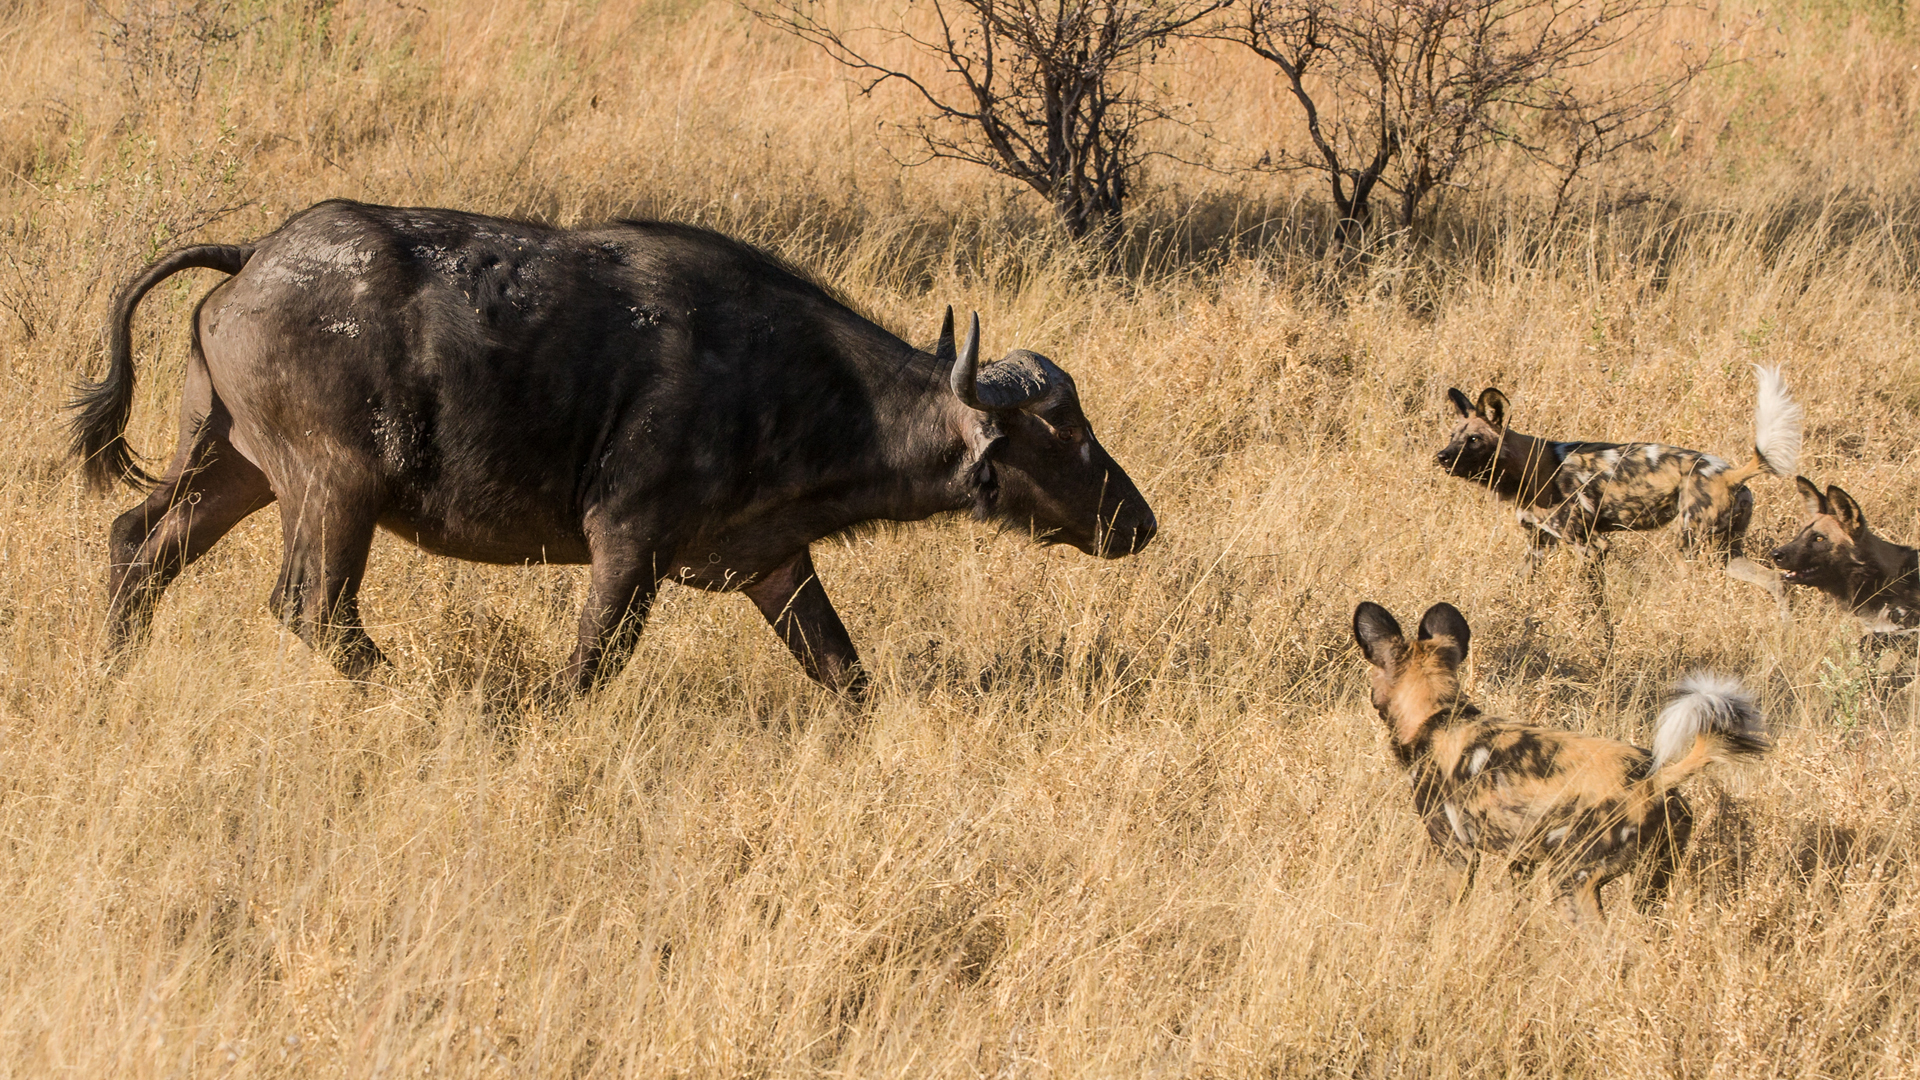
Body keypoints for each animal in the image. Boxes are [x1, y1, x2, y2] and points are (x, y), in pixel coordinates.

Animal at [71, 198, 1152, 691]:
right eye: (1065, 436)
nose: (1138, 523)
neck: (789, 380)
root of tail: (254, 254)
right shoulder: (626, 549)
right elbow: (589, 667)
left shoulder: (775, 564)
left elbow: (844, 673)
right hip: (333, 491)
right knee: (313, 609)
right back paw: (424, 697)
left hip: (233, 470)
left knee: (136, 544)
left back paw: (115, 674)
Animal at [1351, 595, 1766, 914]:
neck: (1438, 716)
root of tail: (1653, 780)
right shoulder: (1521, 860)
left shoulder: (1457, 853)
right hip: (1652, 884)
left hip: (1572, 880)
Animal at [1436, 367, 1804, 588]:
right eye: (1453, 436)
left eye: (1474, 440)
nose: (1441, 457)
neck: (1527, 467)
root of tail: (1730, 472)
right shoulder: (1538, 544)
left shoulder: (1591, 546)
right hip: (1727, 551)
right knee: (1777, 582)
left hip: (1690, 548)